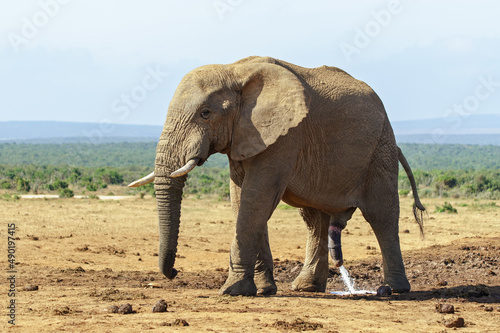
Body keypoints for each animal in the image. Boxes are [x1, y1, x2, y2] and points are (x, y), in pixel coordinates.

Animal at [129, 55, 426, 294]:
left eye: (205, 113)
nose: (174, 272)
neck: (234, 70)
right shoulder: (244, 135)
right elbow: (243, 200)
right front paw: (262, 290)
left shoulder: (285, 136)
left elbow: (256, 199)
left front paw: (232, 291)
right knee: (314, 220)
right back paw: (306, 287)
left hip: (380, 148)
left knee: (382, 214)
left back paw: (393, 290)